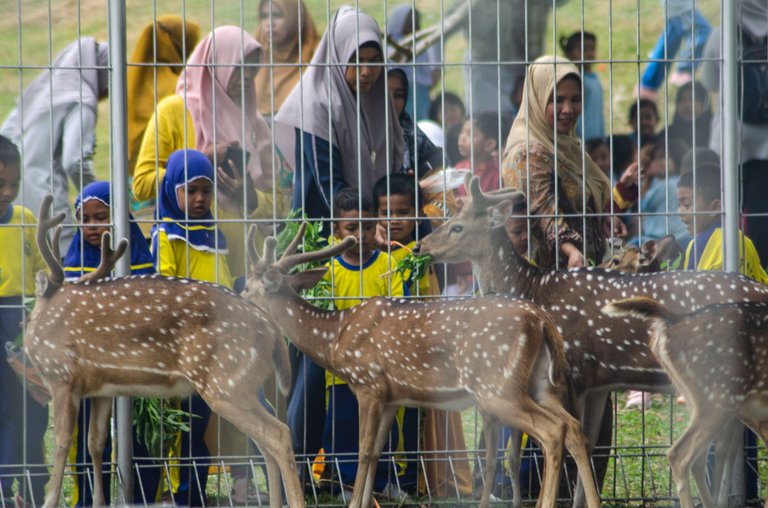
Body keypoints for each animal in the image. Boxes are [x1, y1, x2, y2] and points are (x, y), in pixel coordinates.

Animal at [23, 195, 304, 508]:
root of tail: (272, 331)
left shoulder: (61, 375)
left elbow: (61, 442)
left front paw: (49, 502)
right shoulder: (100, 388)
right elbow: (96, 444)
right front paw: (97, 502)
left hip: (226, 382)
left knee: (279, 434)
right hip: (242, 384)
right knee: (265, 444)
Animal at [243, 224, 604, 508]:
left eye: (248, 287)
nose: (236, 300)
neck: (335, 339)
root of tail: (541, 321)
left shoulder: (368, 383)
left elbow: (362, 451)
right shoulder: (391, 396)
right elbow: (377, 452)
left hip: (497, 387)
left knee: (552, 432)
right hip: (541, 384)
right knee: (574, 429)